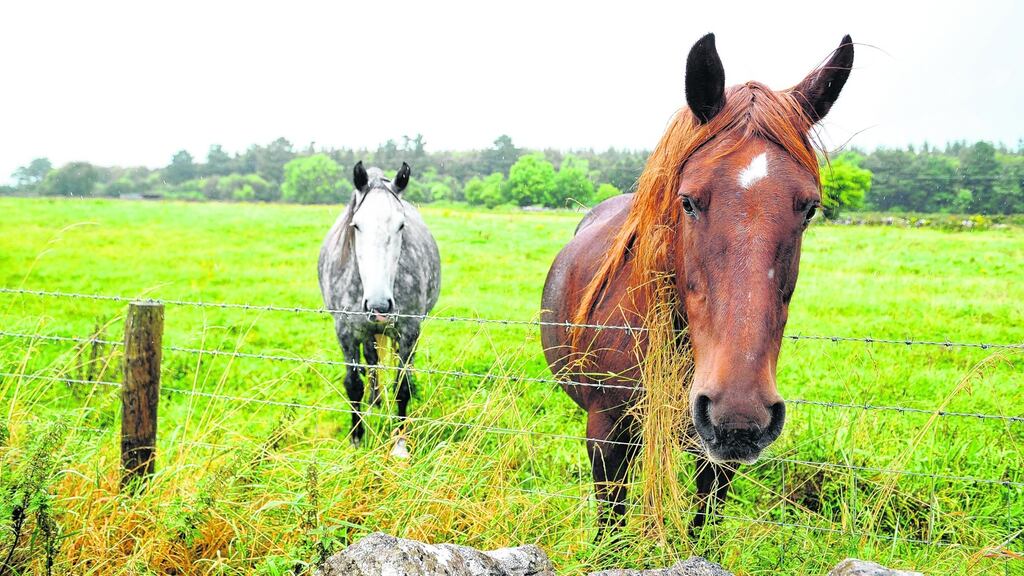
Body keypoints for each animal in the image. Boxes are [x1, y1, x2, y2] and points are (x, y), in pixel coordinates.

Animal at [319, 161, 441, 458]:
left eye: (401, 225)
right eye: (356, 225)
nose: (378, 305)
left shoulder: (409, 330)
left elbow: (402, 387)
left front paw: (400, 444)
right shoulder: (345, 331)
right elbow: (353, 385)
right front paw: (356, 439)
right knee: (372, 362)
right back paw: (374, 401)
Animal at [540, 33, 854, 533]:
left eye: (809, 208)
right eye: (687, 201)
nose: (739, 414)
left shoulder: (716, 457)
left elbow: (705, 523)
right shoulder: (605, 435)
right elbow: (611, 527)